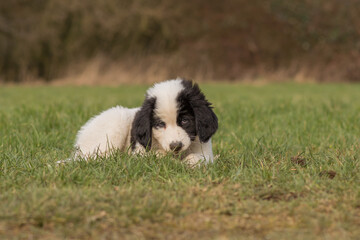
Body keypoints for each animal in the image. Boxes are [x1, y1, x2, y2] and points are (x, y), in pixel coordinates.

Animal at [70, 78, 218, 165]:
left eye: (185, 121)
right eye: (160, 124)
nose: (175, 146)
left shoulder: (204, 149)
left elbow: (200, 158)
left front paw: (189, 161)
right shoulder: (140, 151)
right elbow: (155, 156)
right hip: (116, 124)